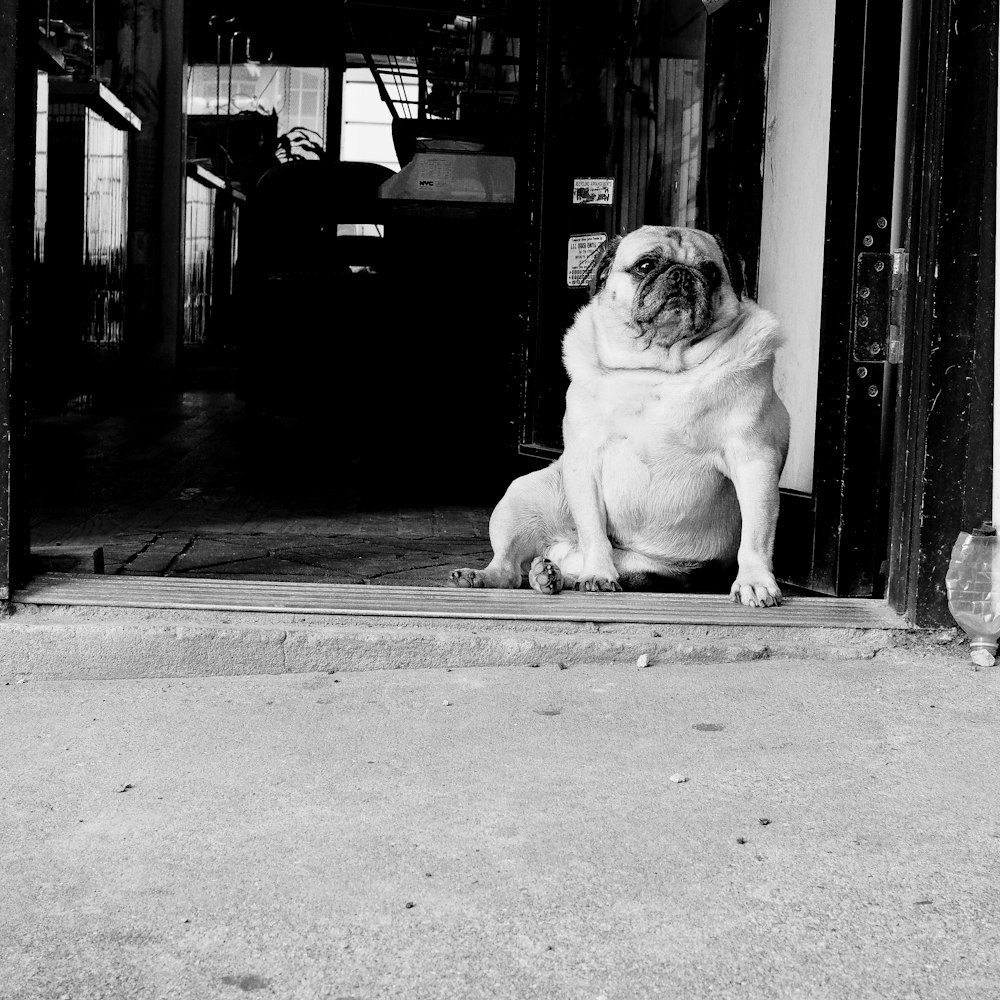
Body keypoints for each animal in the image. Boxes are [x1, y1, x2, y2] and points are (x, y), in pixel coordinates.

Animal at [452, 225, 788, 608]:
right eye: (645, 266)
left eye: (711, 272)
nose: (681, 275)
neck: (660, 370)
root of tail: (561, 547)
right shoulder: (585, 462)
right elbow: (594, 530)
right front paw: (599, 574)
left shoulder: (754, 461)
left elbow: (757, 536)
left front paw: (755, 581)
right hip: (521, 497)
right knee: (509, 569)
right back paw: (491, 576)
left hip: (653, 567)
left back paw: (549, 575)